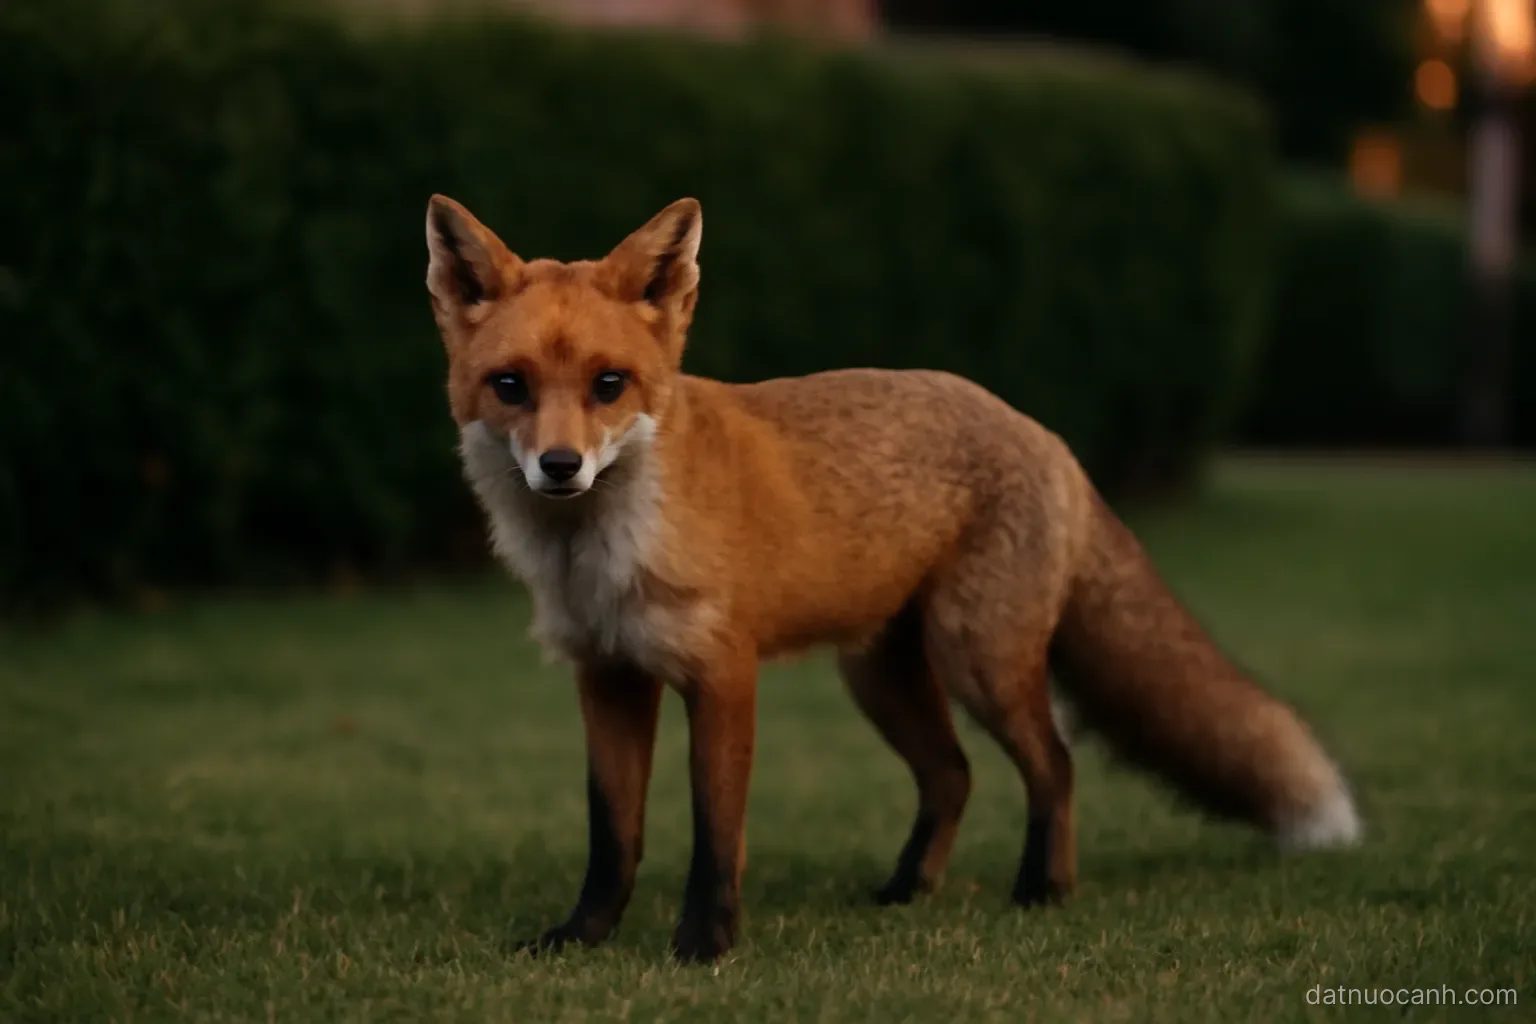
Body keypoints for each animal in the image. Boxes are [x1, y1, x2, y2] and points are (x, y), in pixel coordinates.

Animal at [424, 194, 1361, 964]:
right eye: (510, 386)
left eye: (609, 385)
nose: (560, 467)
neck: (598, 554)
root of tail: (1039, 430)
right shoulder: (609, 676)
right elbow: (613, 835)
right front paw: (582, 938)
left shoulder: (722, 677)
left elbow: (715, 833)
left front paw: (705, 946)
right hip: (880, 676)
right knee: (953, 775)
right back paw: (910, 891)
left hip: (978, 659)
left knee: (1054, 764)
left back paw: (1043, 891)